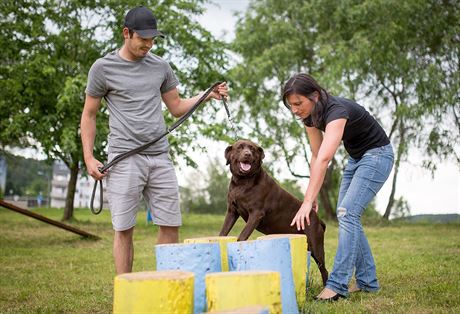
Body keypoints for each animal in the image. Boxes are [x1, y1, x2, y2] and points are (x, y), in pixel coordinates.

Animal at [218, 139, 328, 284]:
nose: (247, 154)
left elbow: (242, 236)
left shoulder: (256, 214)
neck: (242, 182)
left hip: (316, 245)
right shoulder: (232, 212)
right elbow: (223, 231)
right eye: (240, 148)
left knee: (324, 269)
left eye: (252, 149)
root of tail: (318, 219)